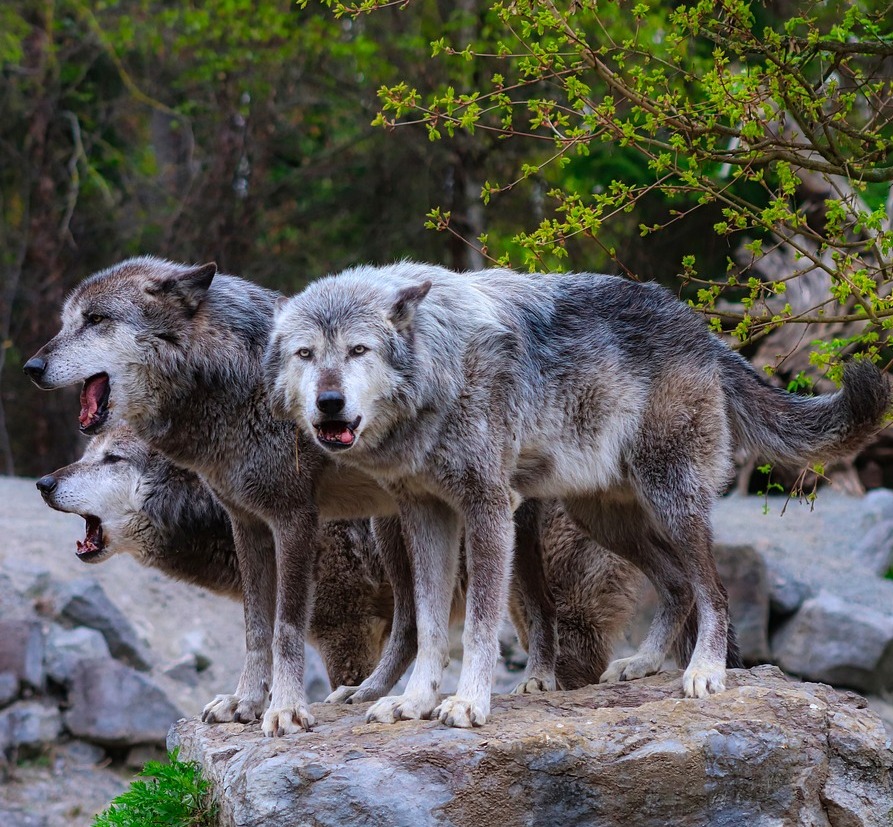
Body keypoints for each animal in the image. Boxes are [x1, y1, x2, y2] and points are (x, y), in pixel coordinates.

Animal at [268, 262, 888, 728]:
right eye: (306, 354)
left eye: (358, 350)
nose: (328, 402)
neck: (442, 364)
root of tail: (703, 331)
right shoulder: (427, 515)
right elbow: (429, 624)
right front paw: (414, 702)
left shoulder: (488, 509)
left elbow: (478, 626)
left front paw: (468, 703)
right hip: (605, 521)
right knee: (679, 585)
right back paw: (643, 663)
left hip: (673, 502)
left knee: (713, 591)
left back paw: (704, 672)